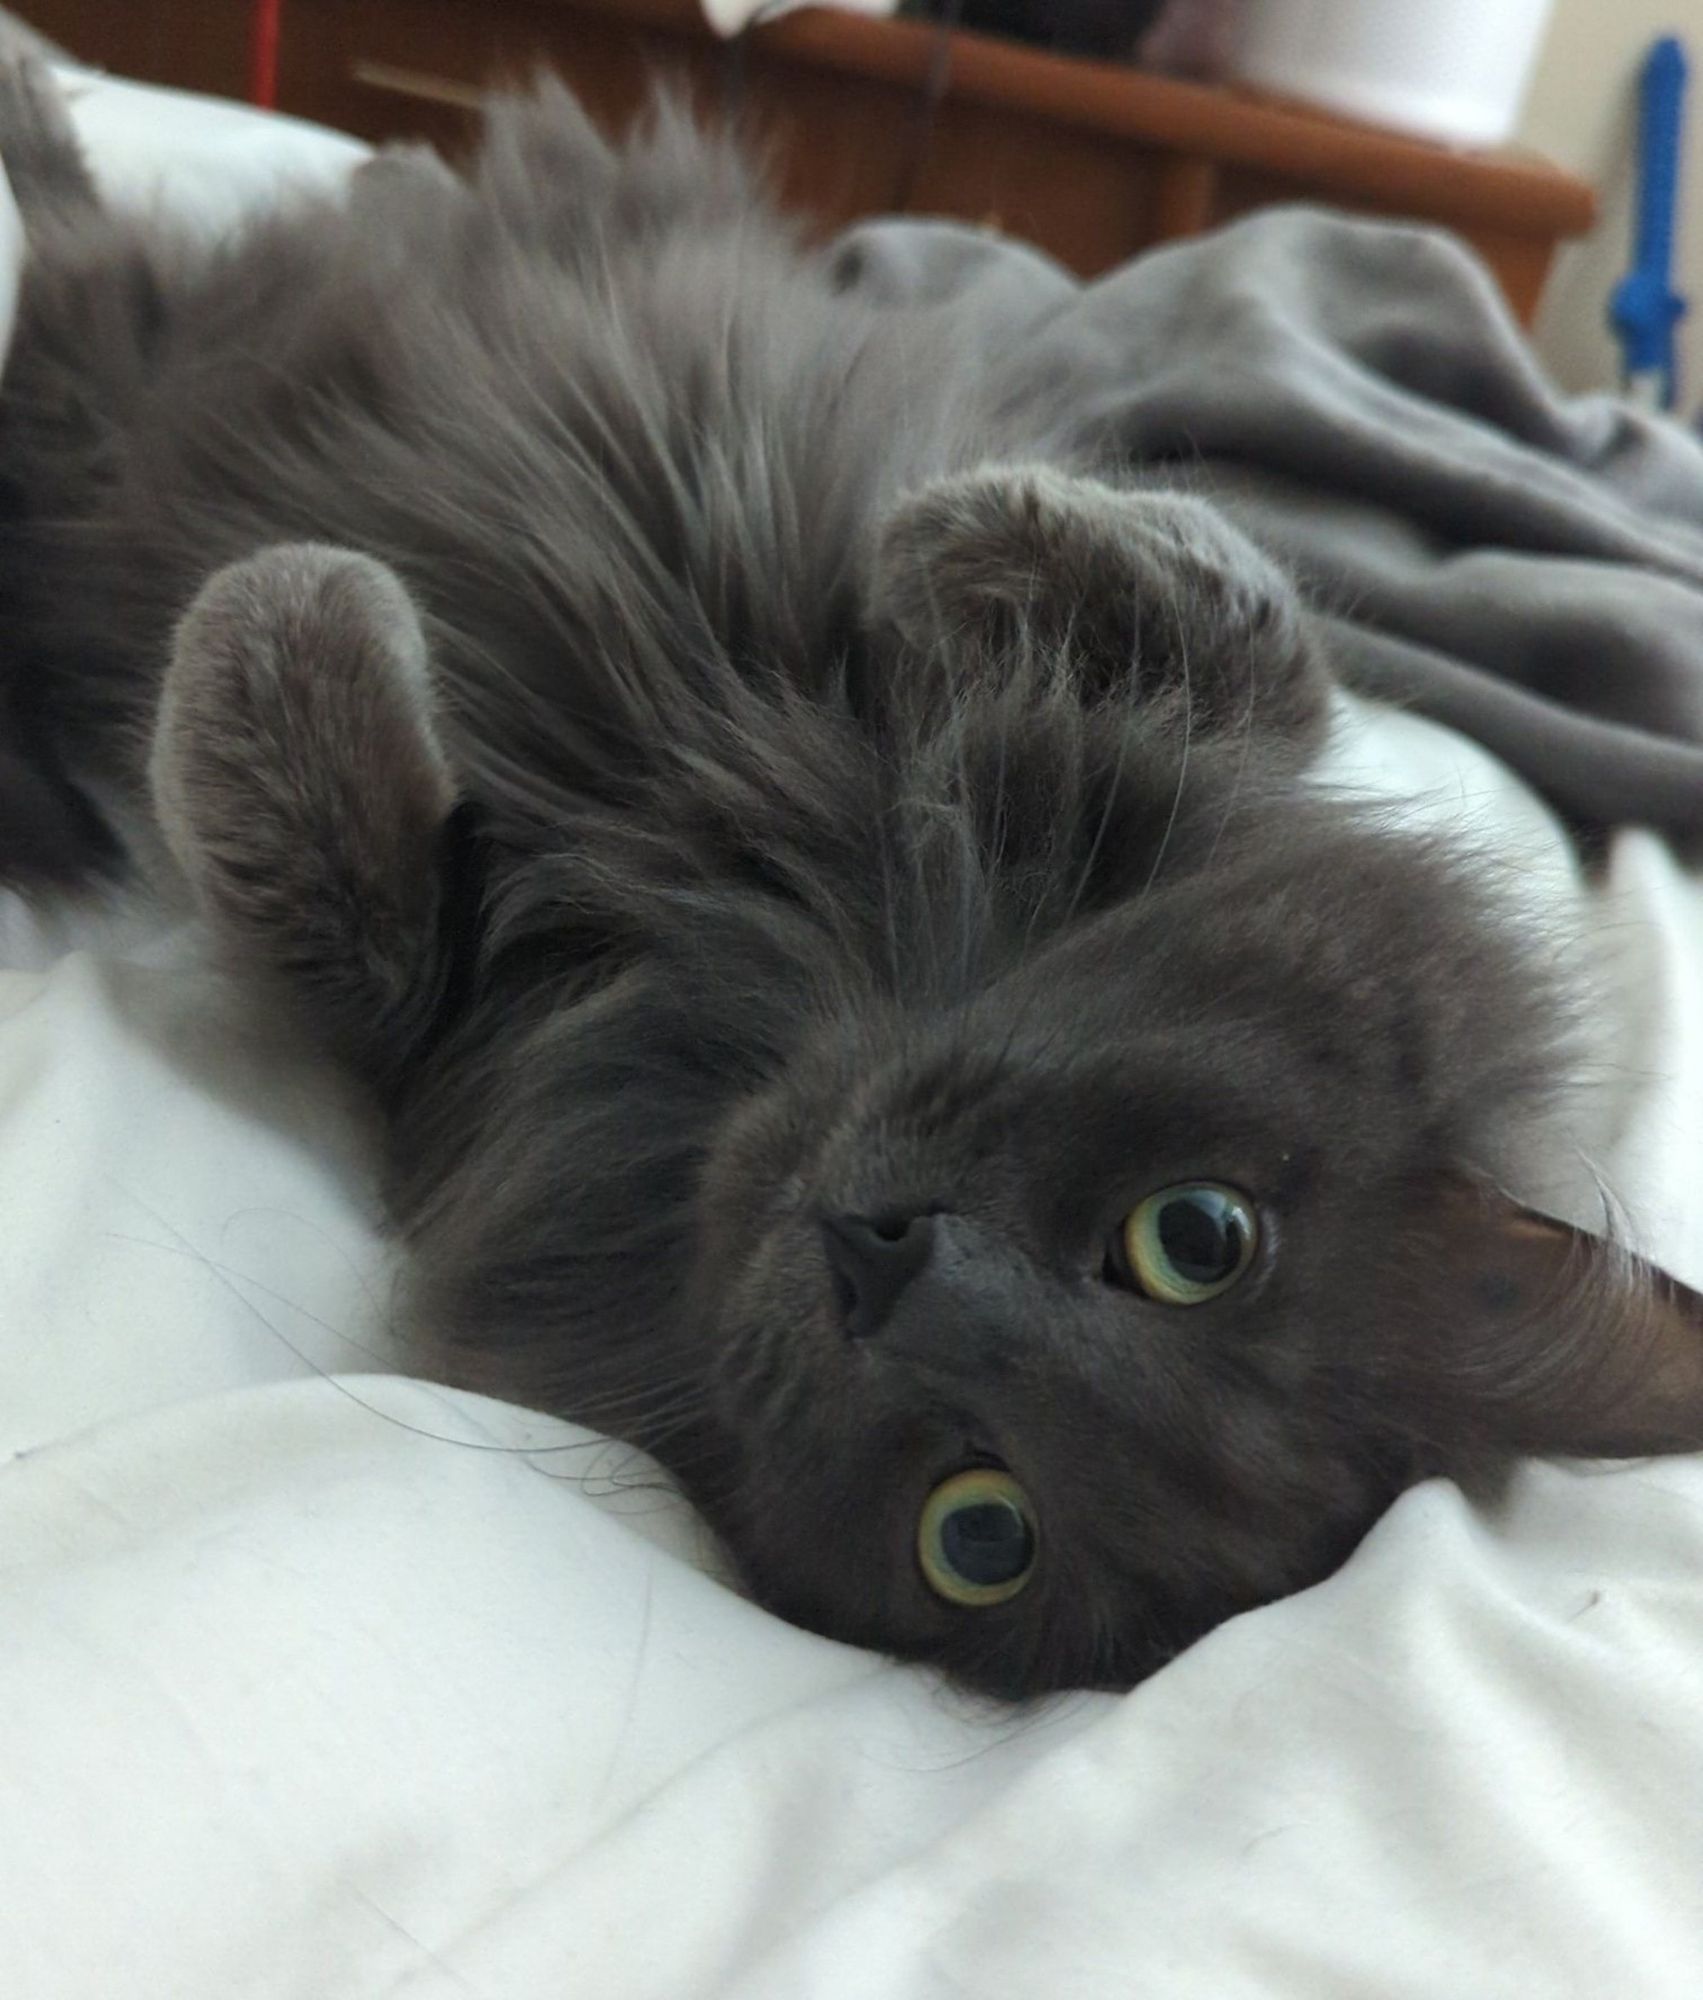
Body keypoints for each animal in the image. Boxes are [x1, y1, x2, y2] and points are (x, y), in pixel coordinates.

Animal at [3, 62, 1703, 1696]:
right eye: (1194, 1239)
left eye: (979, 1534)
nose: (885, 1265)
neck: (764, 918)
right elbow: (1247, 621)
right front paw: (950, 543)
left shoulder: (439, 1038)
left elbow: (334, 878)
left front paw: (300, 606)